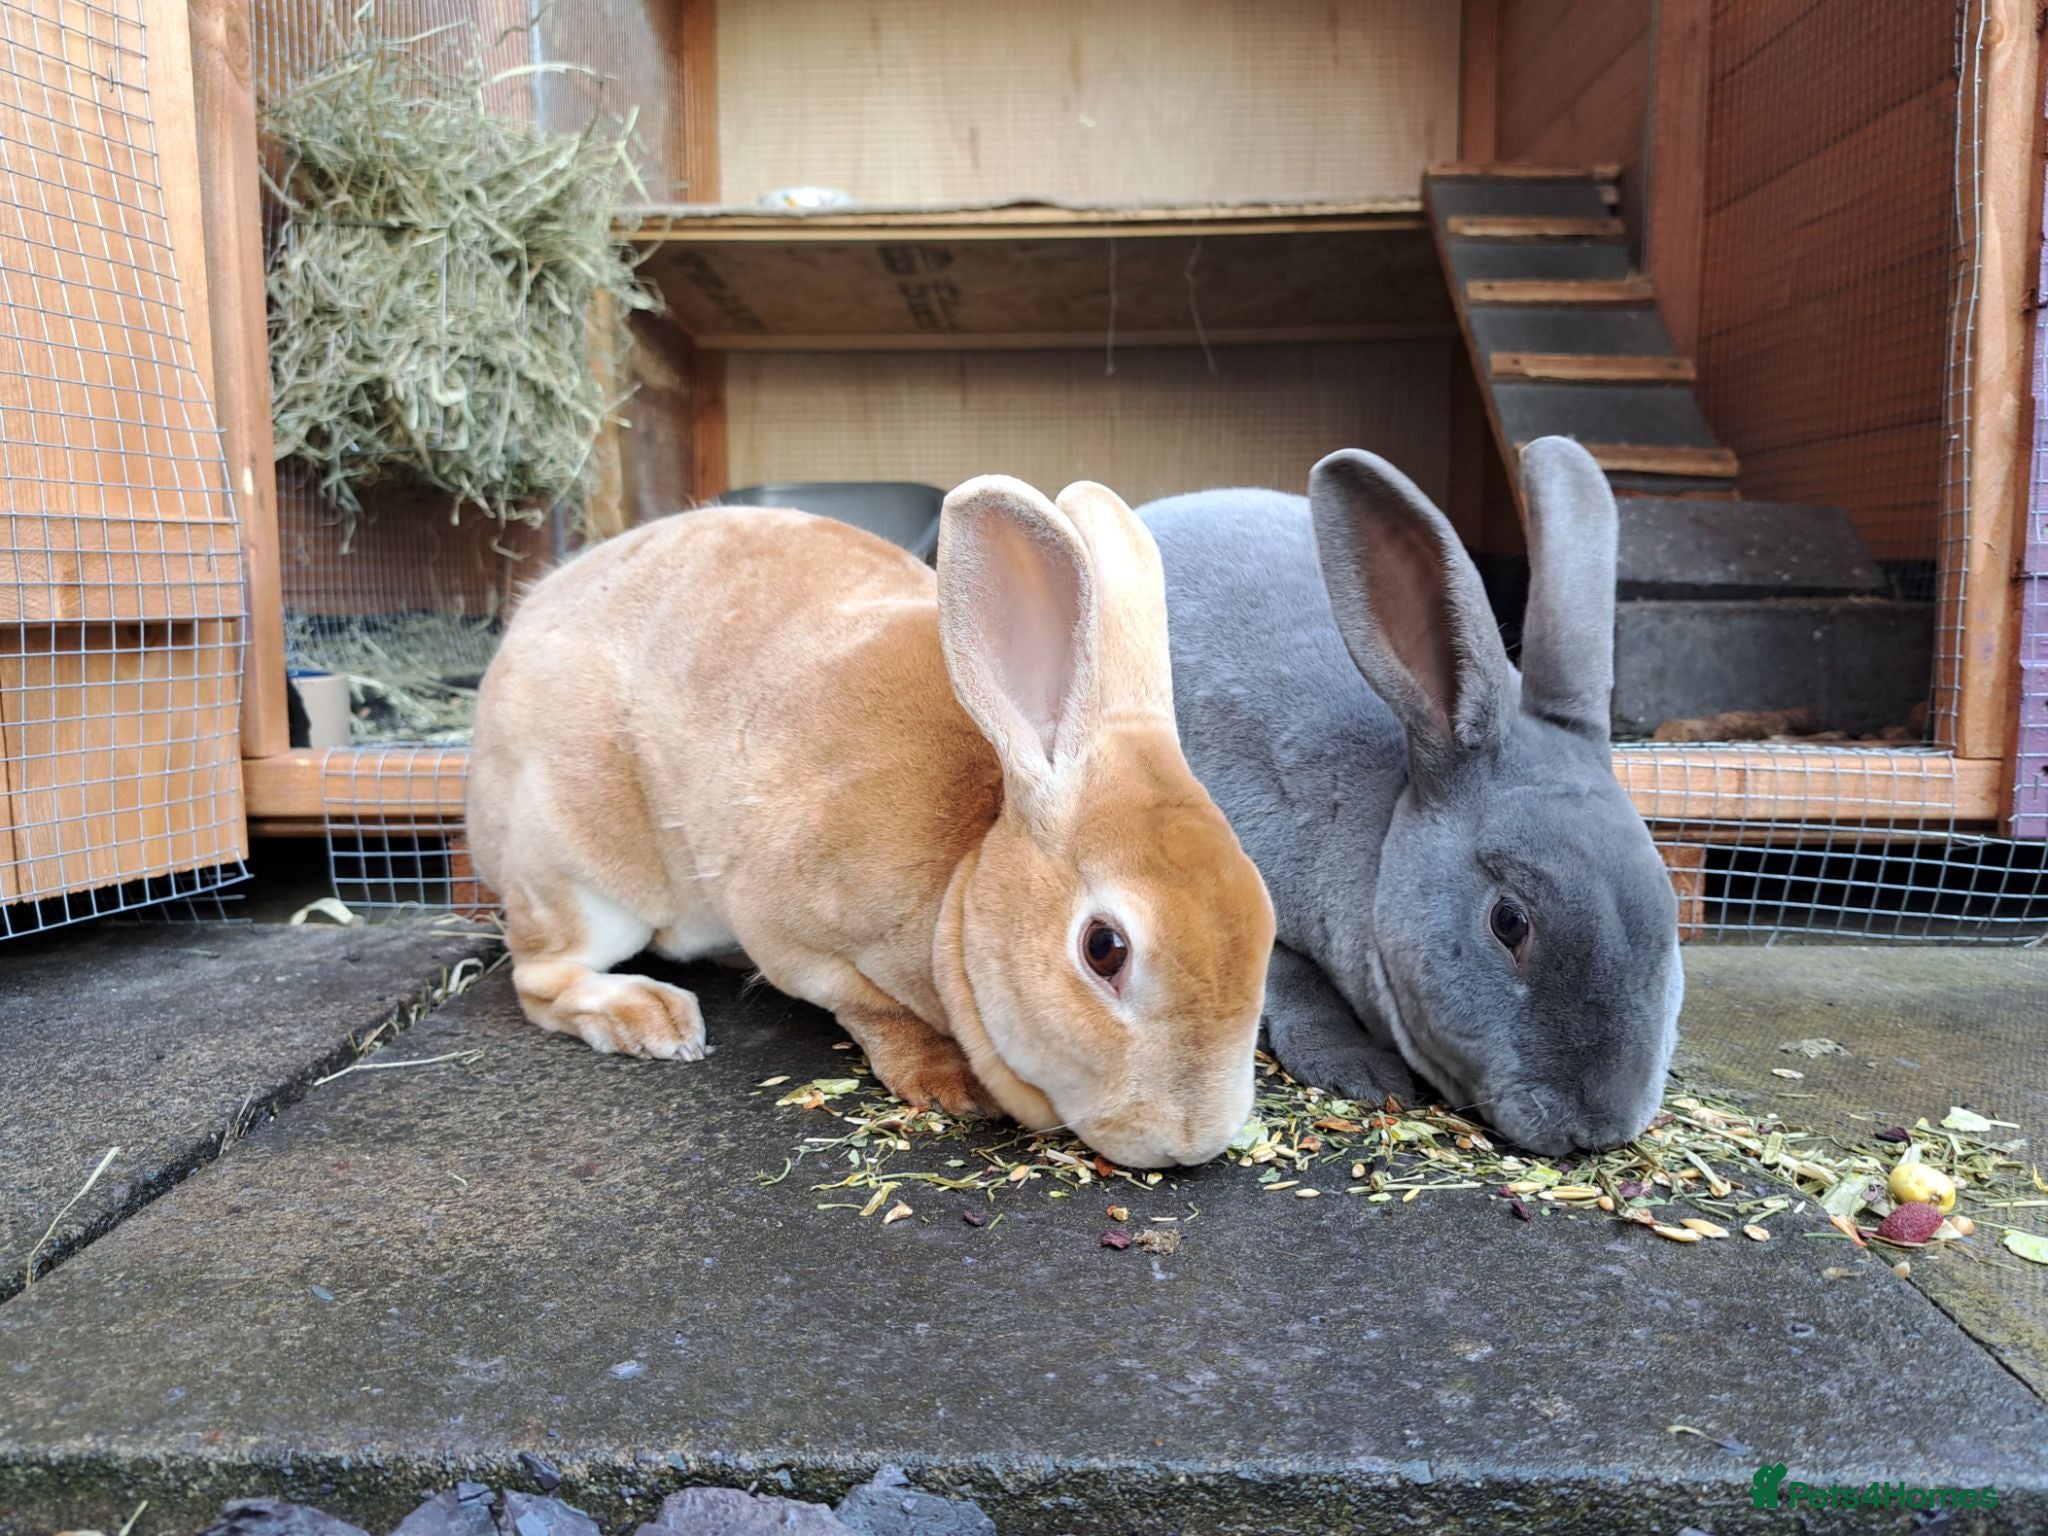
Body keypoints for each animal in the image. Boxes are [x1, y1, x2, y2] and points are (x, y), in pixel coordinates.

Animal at [465, 475, 1276, 1169]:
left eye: (1265, 924)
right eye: (1104, 949)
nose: (1191, 1142)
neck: (963, 877)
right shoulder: (789, 932)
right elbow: (872, 1010)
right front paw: (950, 1082)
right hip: (580, 875)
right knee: (543, 978)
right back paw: (651, 1018)